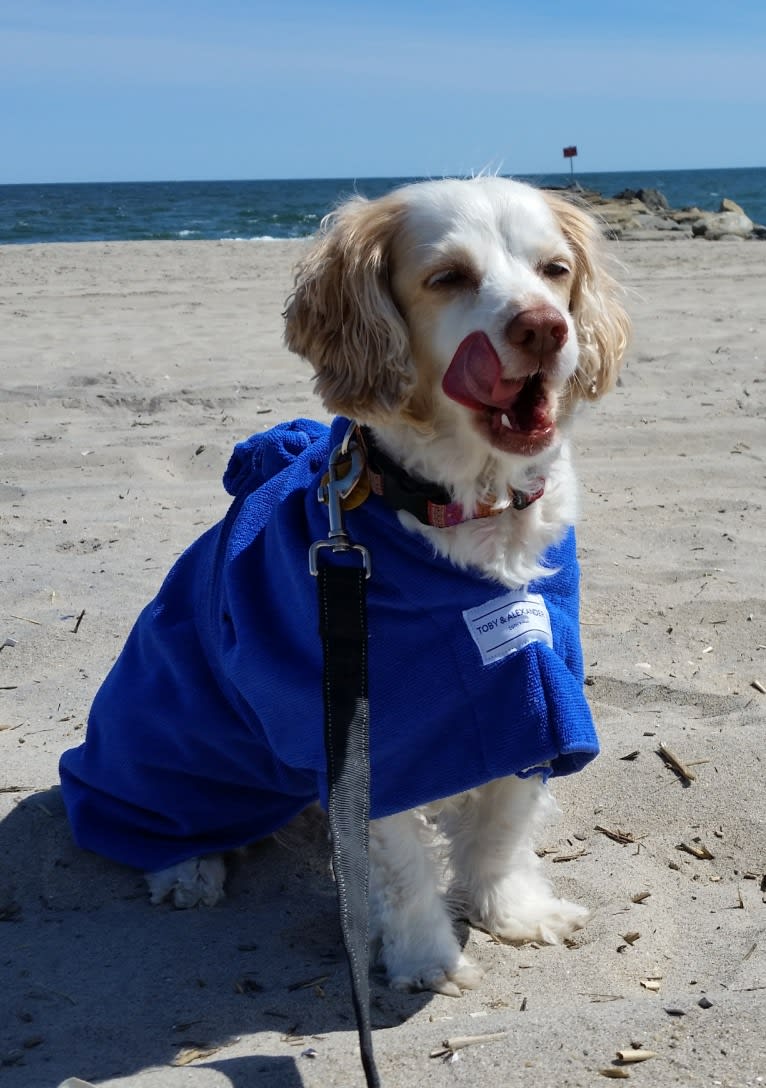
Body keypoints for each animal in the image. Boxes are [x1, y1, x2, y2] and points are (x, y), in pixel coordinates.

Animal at [61, 176, 626, 996]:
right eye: (448, 277)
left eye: (555, 270)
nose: (545, 328)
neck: (468, 506)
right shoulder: (371, 728)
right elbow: (402, 867)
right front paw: (426, 960)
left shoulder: (535, 689)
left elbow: (502, 827)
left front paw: (514, 913)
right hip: (172, 737)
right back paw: (186, 868)